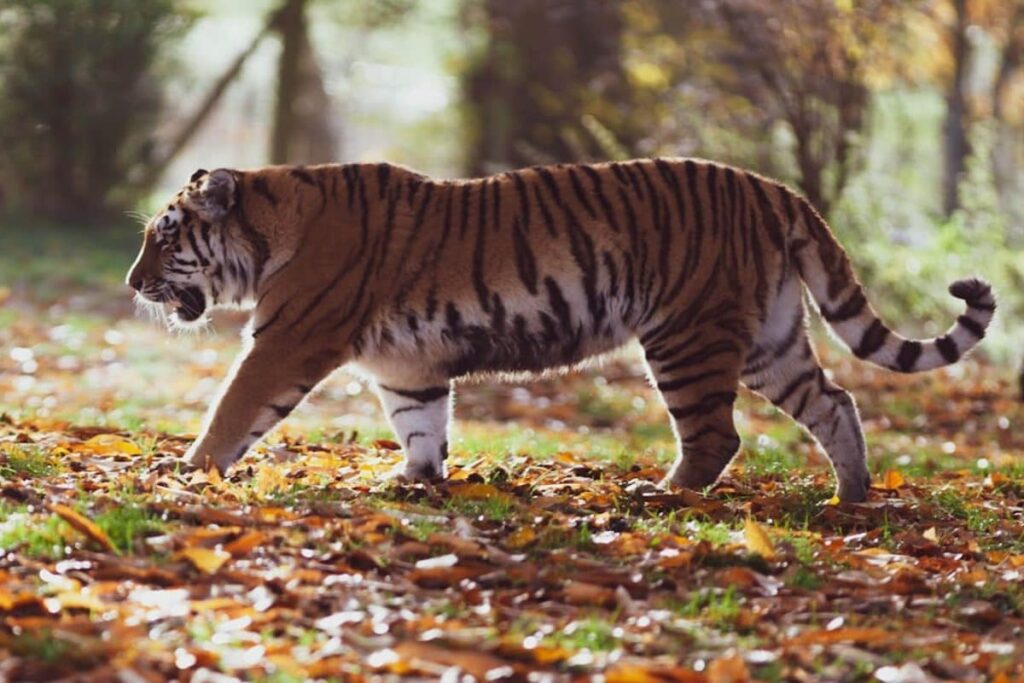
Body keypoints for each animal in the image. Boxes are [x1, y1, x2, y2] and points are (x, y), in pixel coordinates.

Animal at [126, 160, 995, 502]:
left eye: (164, 238)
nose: (132, 284)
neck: (271, 222)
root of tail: (774, 188)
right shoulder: (407, 365)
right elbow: (421, 423)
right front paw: (414, 481)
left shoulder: (288, 340)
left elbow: (233, 409)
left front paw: (187, 470)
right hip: (769, 340)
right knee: (835, 401)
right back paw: (852, 496)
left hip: (687, 335)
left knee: (718, 435)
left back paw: (663, 495)